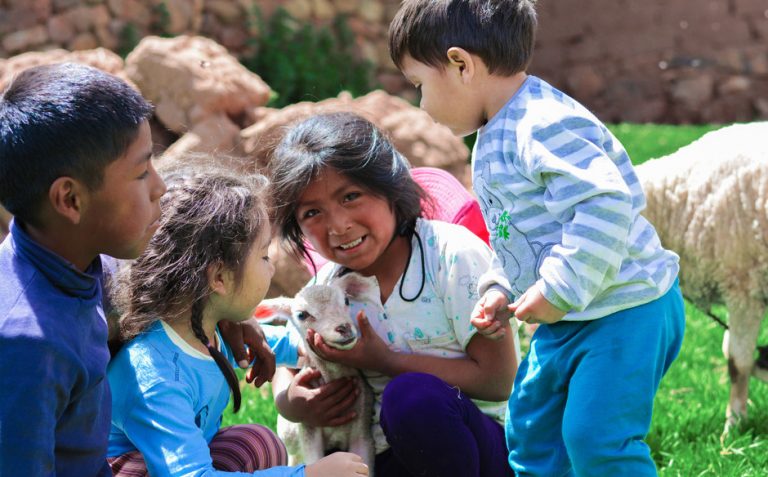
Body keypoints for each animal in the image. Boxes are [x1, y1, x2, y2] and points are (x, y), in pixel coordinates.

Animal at [258, 272, 378, 472]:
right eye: (302, 315)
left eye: (346, 300)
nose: (344, 328)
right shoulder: (309, 430)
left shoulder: (362, 429)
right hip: (288, 433)